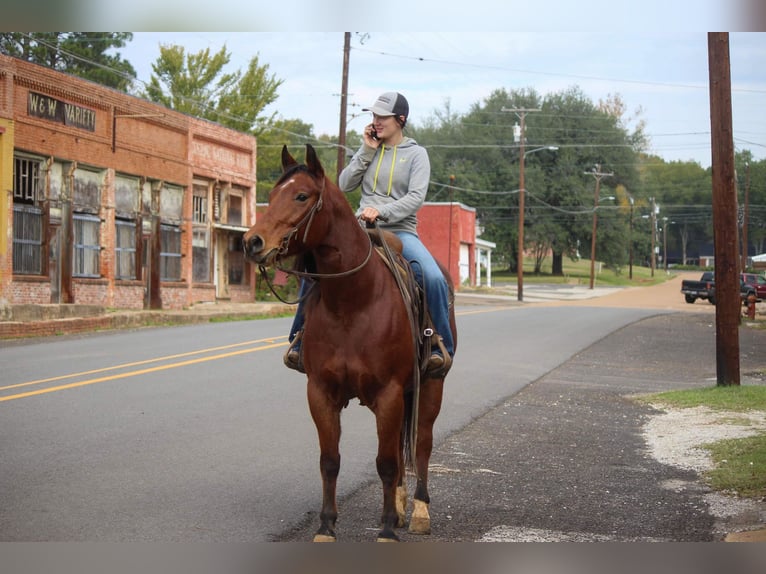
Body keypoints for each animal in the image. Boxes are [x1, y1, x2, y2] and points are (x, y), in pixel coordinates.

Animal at [244, 146, 456, 544]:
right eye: (274, 193)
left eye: (301, 196)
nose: (252, 242)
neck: (353, 301)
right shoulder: (321, 391)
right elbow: (330, 461)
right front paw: (327, 526)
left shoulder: (389, 392)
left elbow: (386, 462)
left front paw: (386, 530)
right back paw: (400, 505)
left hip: (430, 386)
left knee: (421, 443)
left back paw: (418, 511)